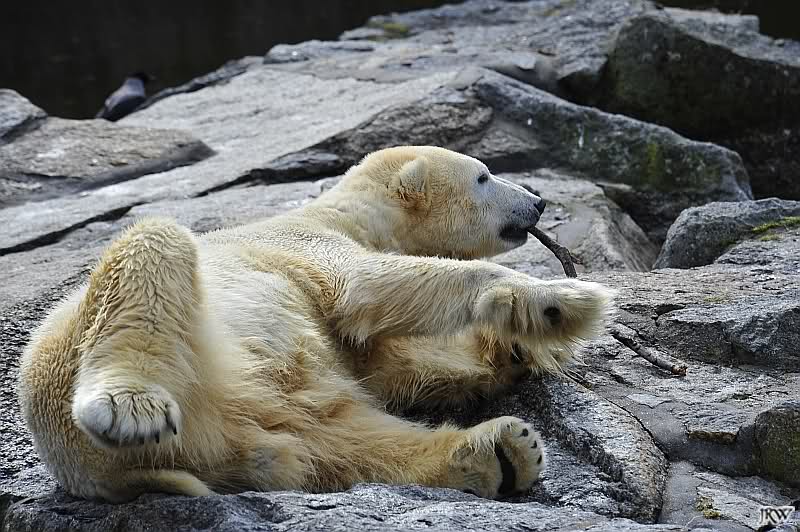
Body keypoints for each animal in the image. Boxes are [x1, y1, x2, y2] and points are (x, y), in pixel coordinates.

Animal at [17, 146, 614, 503]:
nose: (538, 201)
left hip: (271, 411)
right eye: (485, 175)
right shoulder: (312, 247)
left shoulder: (350, 338)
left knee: (342, 439)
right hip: (88, 345)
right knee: (152, 246)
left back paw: (504, 452)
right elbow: (378, 286)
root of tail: (91, 469)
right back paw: (130, 406)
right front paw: (563, 302)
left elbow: (395, 365)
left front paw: (513, 349)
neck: (345, 214)